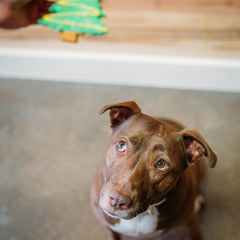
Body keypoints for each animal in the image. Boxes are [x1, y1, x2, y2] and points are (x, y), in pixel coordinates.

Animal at [90, 101, 218, 240]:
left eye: (161, 164)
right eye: (121, 146)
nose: (118, 200)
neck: (142, 214)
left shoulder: (190, 221)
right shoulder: (109, 228)